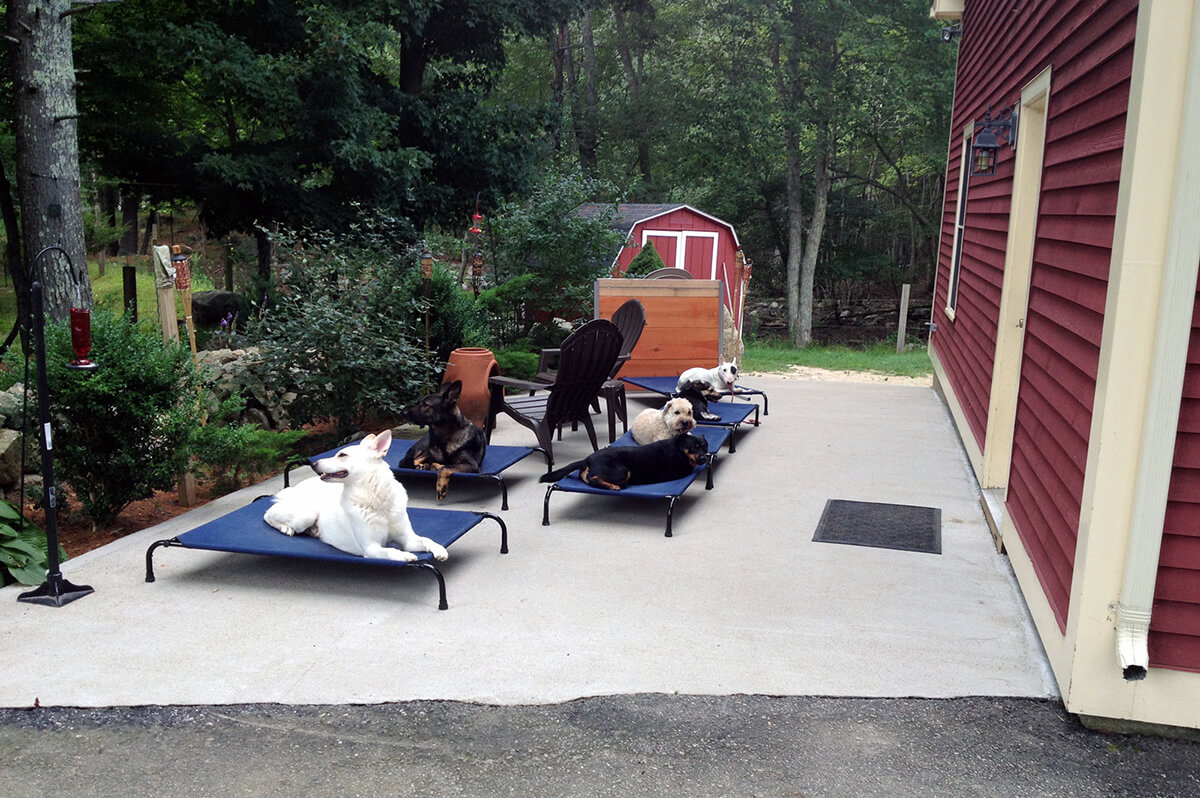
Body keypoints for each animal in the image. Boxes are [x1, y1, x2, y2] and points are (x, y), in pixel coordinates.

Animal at [264, 429, 451, 559]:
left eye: (342, 454)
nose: (314, 463)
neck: (376, 499)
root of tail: (295, 488)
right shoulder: (371, 548)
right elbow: (390, 550)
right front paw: (404, 556)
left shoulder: (408, 539)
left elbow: (426, 539)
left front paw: (438, 549)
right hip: (306, 515)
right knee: (268, 515)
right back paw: (285, 527)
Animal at [540, 432, 705, 489]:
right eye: (693, 448)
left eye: (705, 446)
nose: (704, 457)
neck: (678, 448)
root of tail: (587, 459)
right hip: (622, 471)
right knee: (593, 478)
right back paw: (613, 486)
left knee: (585, 477)